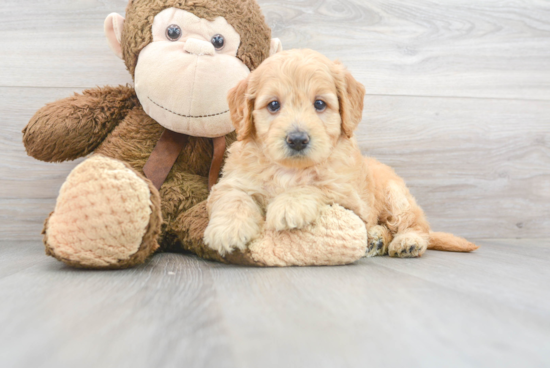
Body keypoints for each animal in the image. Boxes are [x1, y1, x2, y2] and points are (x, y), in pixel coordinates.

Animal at [205, 47, 480, 258]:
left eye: (319, 104)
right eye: (273, 105)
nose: (297, 139)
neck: (290, 170)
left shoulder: (348, 196)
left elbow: (317, 186)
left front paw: (289, 205)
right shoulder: (231, 181)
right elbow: (234, 197)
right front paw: (226, 230)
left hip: (396, 195)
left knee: (416, 225)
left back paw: (407, 242)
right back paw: (377, 239)